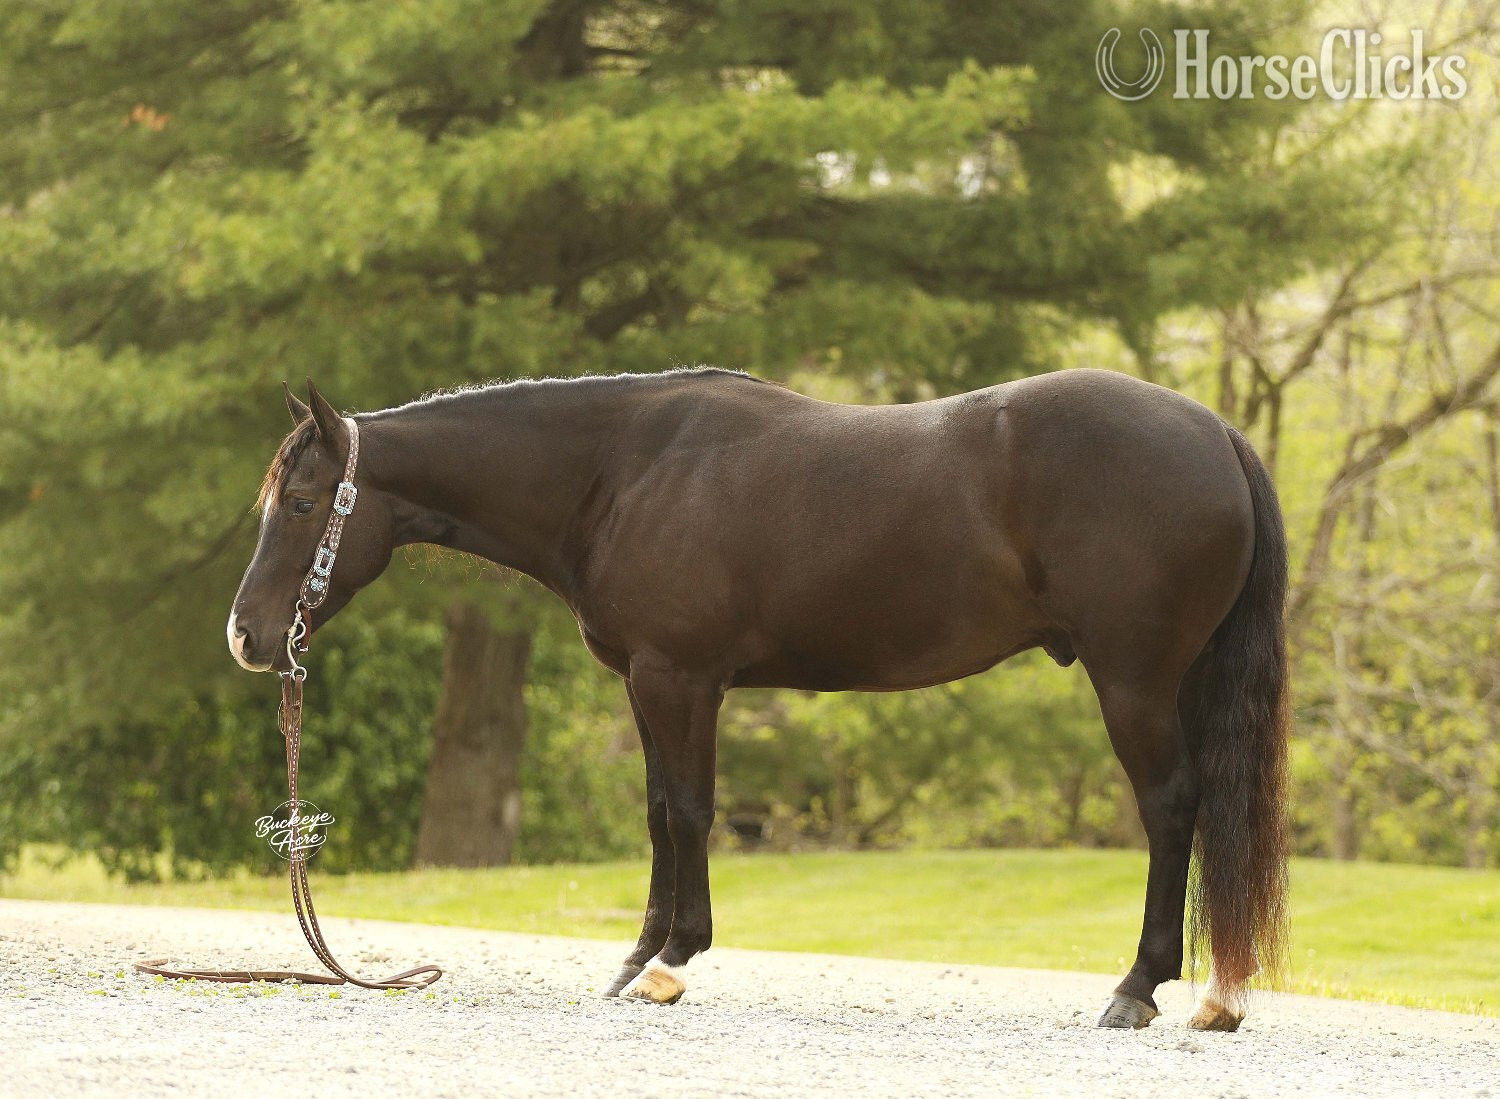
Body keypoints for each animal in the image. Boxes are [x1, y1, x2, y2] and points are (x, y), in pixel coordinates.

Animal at [228, 367, 1290, 1031]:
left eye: (302, 503)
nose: (246, 636)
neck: (620, 470)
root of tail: (1215, 433)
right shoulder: (649, 681)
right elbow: (662, 812)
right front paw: (637, 960)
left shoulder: (681, 677)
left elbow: (690, 813)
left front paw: (671, 961)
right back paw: (1216, 996)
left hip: (1135, 679)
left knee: (1173, 808)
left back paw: (1138, 988)